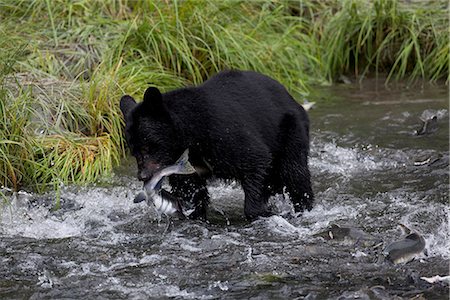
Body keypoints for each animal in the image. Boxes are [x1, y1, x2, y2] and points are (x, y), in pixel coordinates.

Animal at [121, 70, 314, 220]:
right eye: (133, 152)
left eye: (147, 147)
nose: (143, 176)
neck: (190, 135)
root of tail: (293, 99)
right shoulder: (186, 163)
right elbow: (190, 186)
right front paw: (194, 213)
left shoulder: (222, 132)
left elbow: (255, 159)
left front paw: (260, 211)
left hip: (289, 131)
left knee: (295, 174)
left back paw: (303, 208)